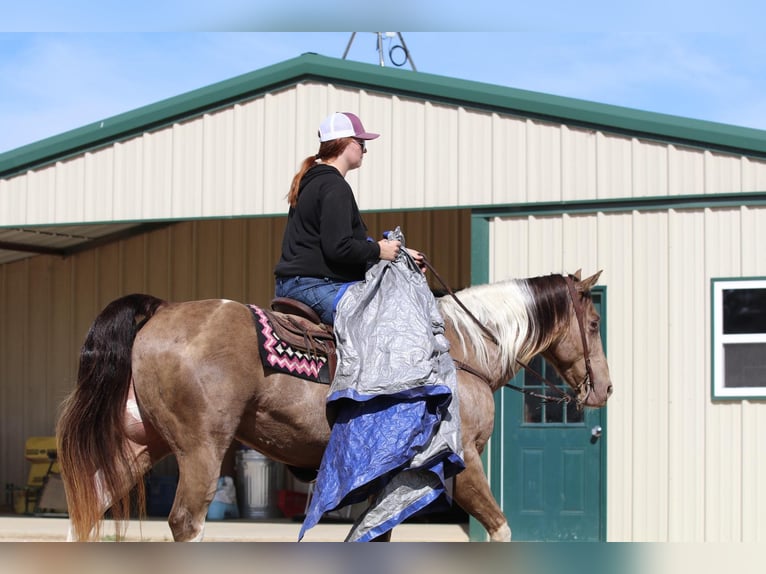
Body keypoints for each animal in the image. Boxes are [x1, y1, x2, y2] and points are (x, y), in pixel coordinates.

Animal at [57, 270, 616, 544]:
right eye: (592, 324)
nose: (605, 390)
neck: (461, 350)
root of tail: (163, 309)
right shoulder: (464, 461)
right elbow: (500, 528)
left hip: (138, 445)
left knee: (86, 512)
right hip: (200, 449)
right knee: (185, 524)